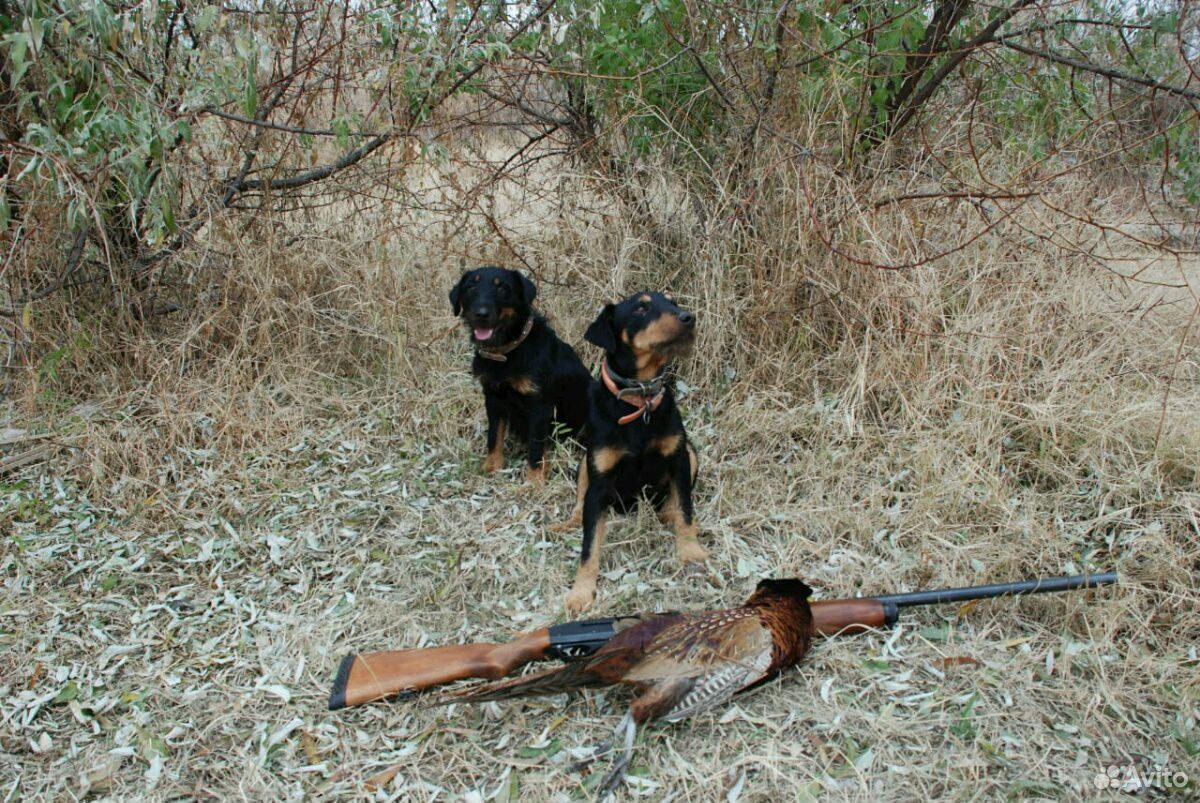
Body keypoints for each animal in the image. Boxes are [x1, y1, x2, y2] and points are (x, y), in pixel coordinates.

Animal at [448, 267, 592, 482]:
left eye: (502, 288)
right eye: (470, 287)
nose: (481, 314)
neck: (505, 354)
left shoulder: (540, 406)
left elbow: (536, 447)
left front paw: (534, 480)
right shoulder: (493, 398)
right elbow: (494, 435)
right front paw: (492, 465)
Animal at [556, 291, 705, 609]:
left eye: (673, 302)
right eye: (640, 308)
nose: (689, 317)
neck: (640, 401)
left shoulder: (679, 458)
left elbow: (686, 509)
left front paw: (691, 551)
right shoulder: (599, 480)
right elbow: (589, 543)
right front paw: (581, 591)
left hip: (691, 453)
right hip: (585, 464)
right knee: (579, 505)